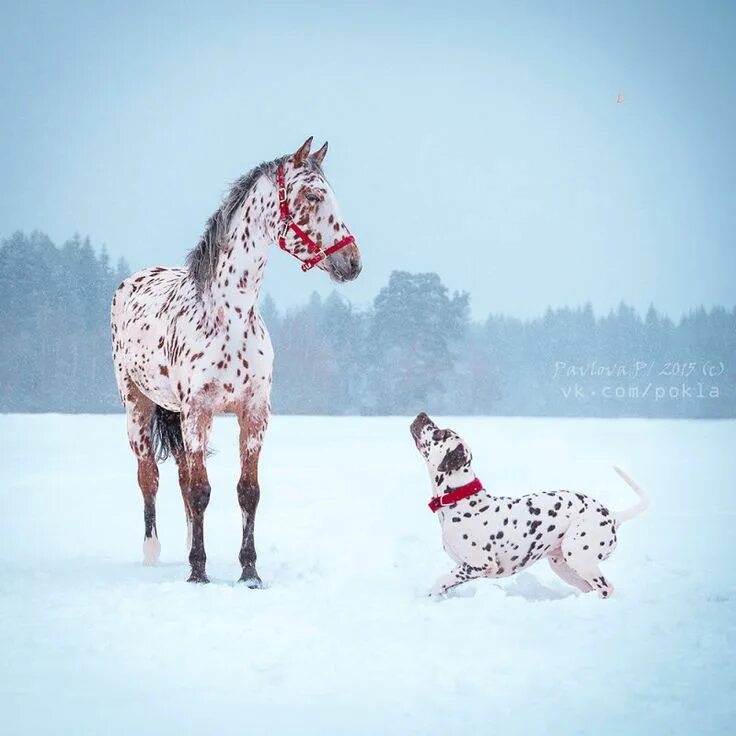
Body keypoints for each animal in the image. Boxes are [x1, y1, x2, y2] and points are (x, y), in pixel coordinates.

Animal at [111, 138, 362, 584]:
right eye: (314, 196)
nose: (352, 262)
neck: (230, 318)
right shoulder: (198, 411)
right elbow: (200, 491)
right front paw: (198, 571)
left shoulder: (253, 412)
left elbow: (247, 492)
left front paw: (249, 572)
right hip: (137, 407)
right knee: (149, 477)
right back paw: (153, 553)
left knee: (180, 477)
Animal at [408, 412, 648, 600]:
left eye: (440, 434)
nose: (422, 414)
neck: (461, 499)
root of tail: (614, 516)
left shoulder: (482, 564)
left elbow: (441, 580)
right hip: (563, 565)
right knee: (591, 588)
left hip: (579, 556)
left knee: (606, 587)